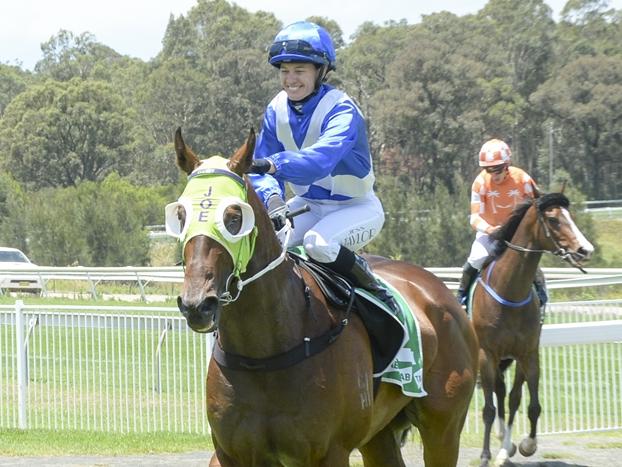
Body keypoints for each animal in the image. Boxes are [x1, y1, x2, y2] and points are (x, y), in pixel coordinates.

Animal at [168, 126, 480, 466]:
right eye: (180, 214)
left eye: (234, 217)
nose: (197, 304)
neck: (263, 355)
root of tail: (441, 294)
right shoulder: (230, 453)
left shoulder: (330, 452)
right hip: (379, 434)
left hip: (443, 426)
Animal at [476, 192, 596, 466]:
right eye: (553, 219)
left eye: (570, 216)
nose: (585, 250)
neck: (509, 291)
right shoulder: (487, 353)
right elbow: (488, 408)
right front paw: (486, 455)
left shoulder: (529, 353)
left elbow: (529, 404)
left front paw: (525, 445)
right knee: (495, 393)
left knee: (508, 394)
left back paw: (506, 444)